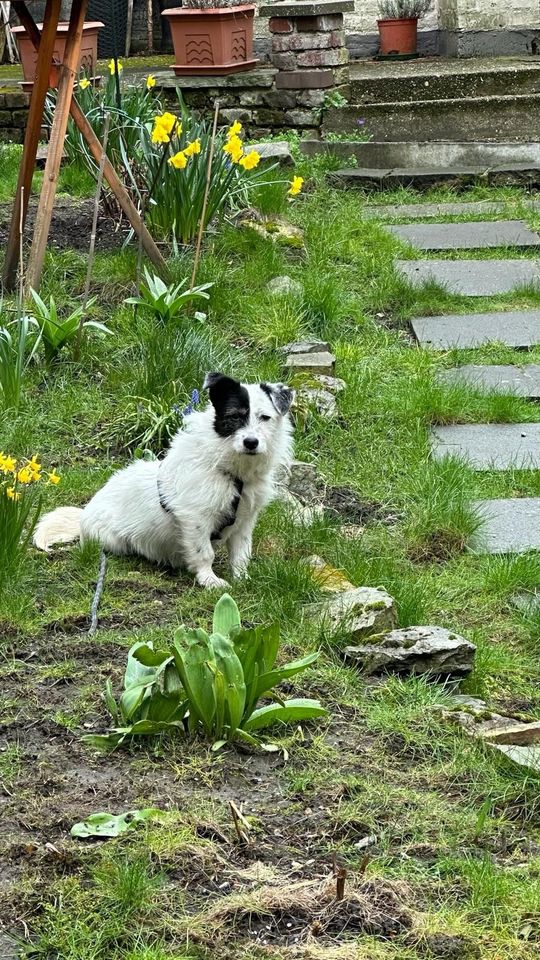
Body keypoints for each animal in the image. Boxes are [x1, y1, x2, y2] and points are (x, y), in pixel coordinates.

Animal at [34, 374, 296, 584]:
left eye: (265, 417)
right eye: (234, 416)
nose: (251, 442)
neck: (233, 474)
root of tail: (84, 513)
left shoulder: (245, 521)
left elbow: (241, 554)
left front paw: (243, 579)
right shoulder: (195, 518)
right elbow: (204, 553)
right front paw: (210, 580)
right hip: (112, 540)